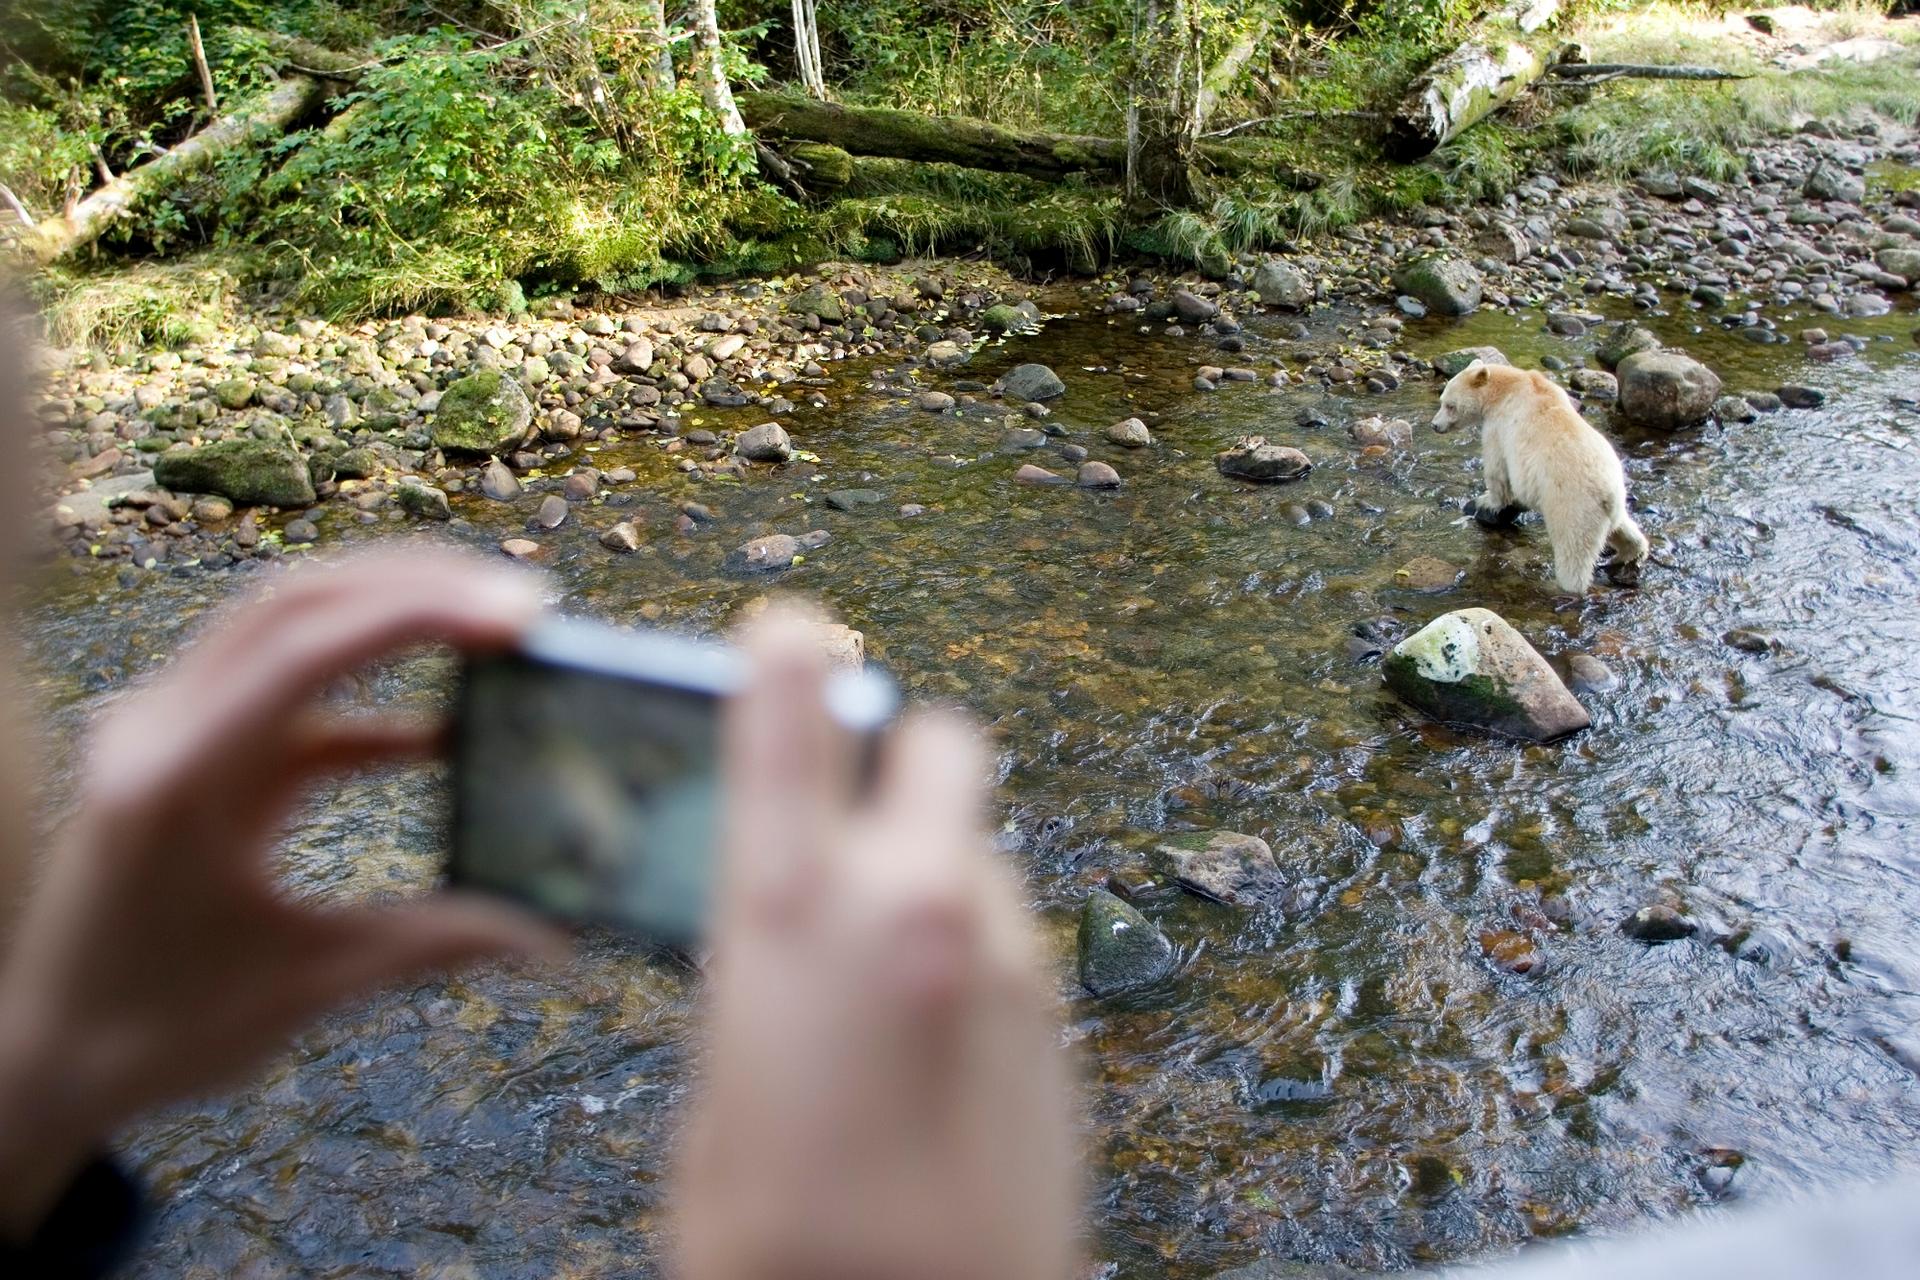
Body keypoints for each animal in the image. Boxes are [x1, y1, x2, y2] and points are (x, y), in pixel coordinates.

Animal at [1436, 360, 1643, 594]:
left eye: (1449, 405)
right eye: (1442, 401)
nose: (1435, 425)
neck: (1507, 387)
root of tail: (1609, 492)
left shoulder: (1499, 425)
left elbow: (1496, 467)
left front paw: (1487, 500)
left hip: (1572, 506)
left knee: (1572, 552)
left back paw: (1563, 586)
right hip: (1609, 509)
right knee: (1623, 529)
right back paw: (1631, 552)